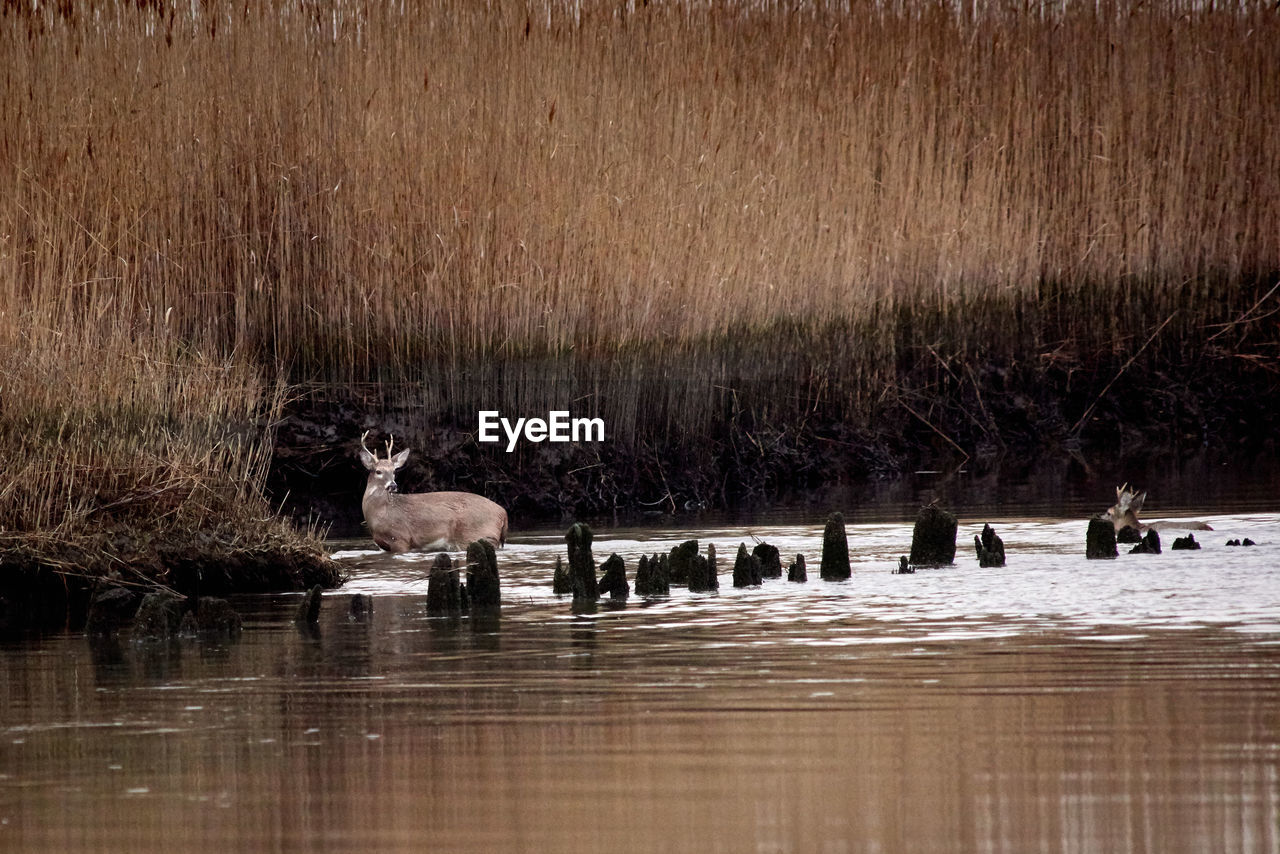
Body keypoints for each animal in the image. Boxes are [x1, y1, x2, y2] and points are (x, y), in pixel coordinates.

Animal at [358, 435, 506, 555]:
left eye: (394, 471)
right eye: (378, 471)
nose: (393, 485)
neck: (380, 514)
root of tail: (503, 512)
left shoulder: (400, 538)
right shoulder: (382, 545)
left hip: (478, 533)